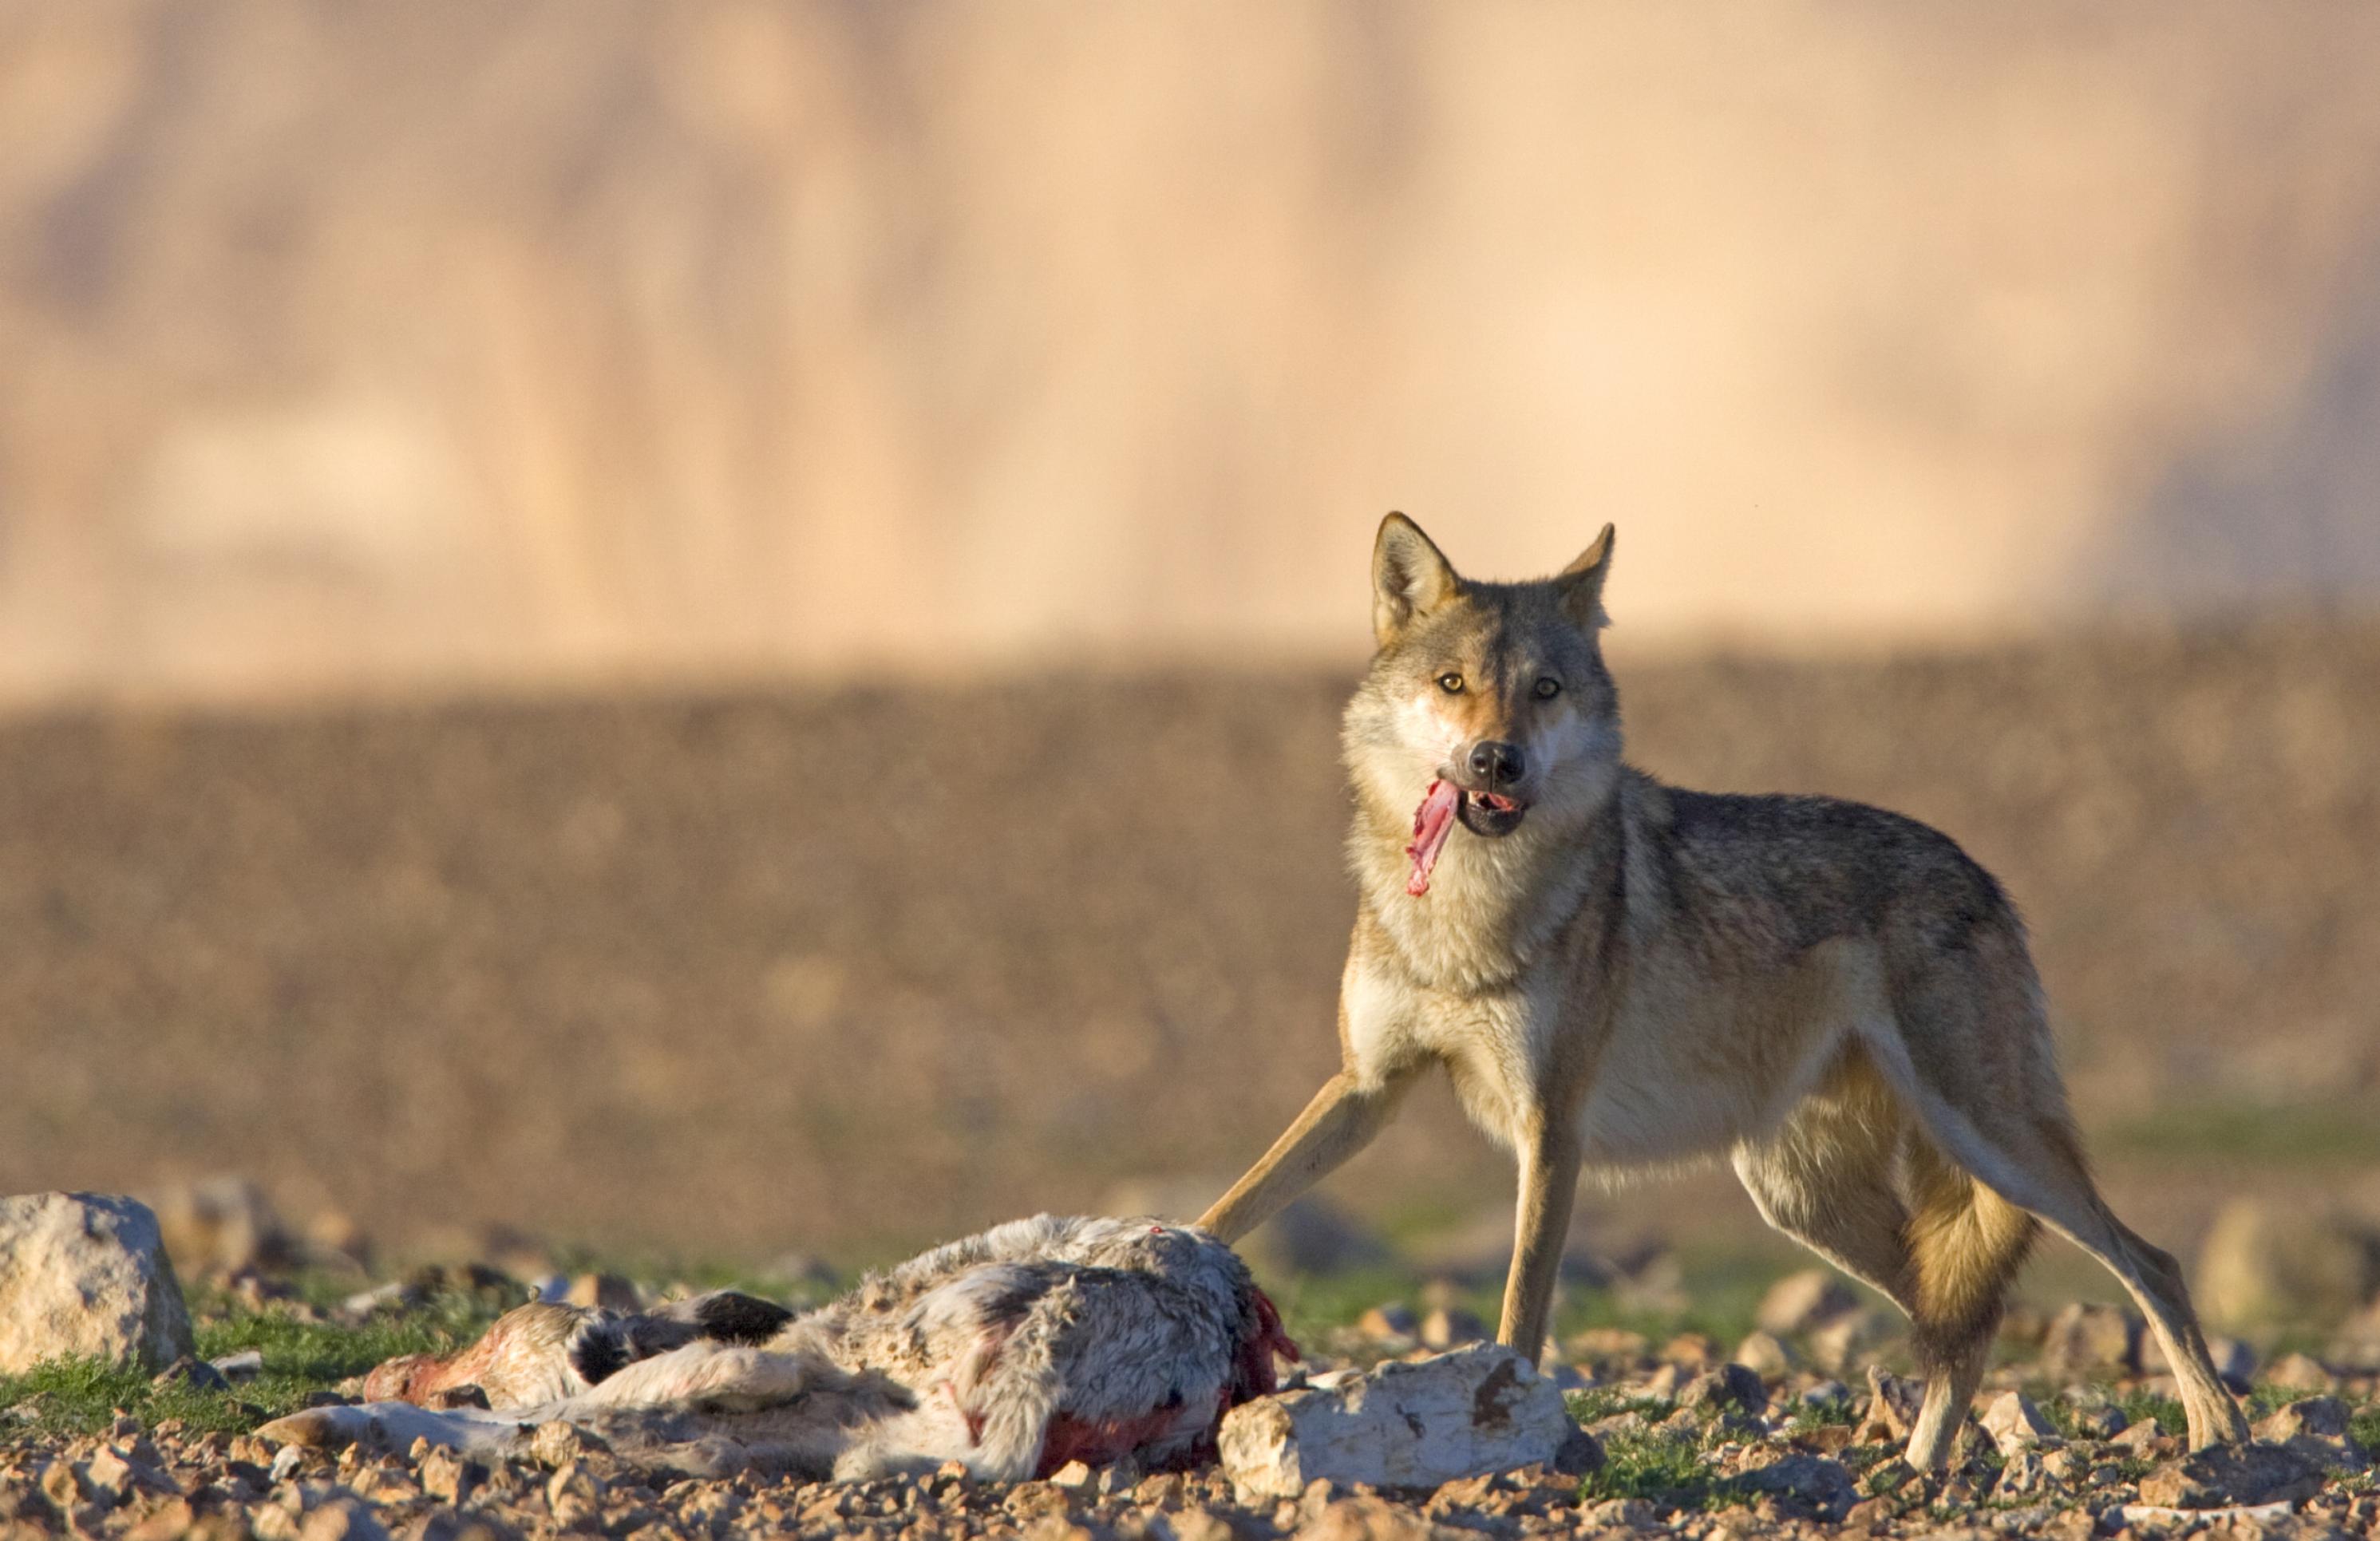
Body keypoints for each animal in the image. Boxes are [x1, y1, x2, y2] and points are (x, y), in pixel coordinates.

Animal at [1199, 513, 2255, 1464]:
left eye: (1545, 689)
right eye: (1452, 683)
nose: (1497, 759)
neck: (1466, 909)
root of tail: (1984, 876)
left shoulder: (1553, 1125)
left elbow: (1520, 1308)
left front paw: (1507, 1418)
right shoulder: (1366, 1087)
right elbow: (1238, 1198)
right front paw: (1167, 1257)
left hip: (1987, 1139)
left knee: (2147, 1263)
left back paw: (2216, 1430)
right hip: (1802, 1195)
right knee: (1959, 1315)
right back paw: (1919, 1471)